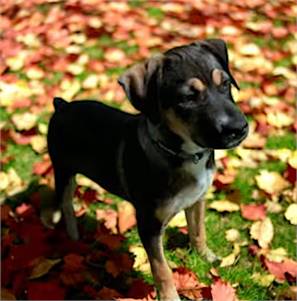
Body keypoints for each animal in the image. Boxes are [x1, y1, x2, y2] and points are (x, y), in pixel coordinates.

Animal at [44, 38, 247, 298]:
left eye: (226, 84)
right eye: (187, 98)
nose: (239, 129)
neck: (185, 154)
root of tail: (62, 106)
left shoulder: (197, 199)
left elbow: (198, 231)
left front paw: (207, 257)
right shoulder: (148, 224)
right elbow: (162, 269)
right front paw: (170, 297)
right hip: (63, 170)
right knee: (66, 206)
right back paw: (73, 237)